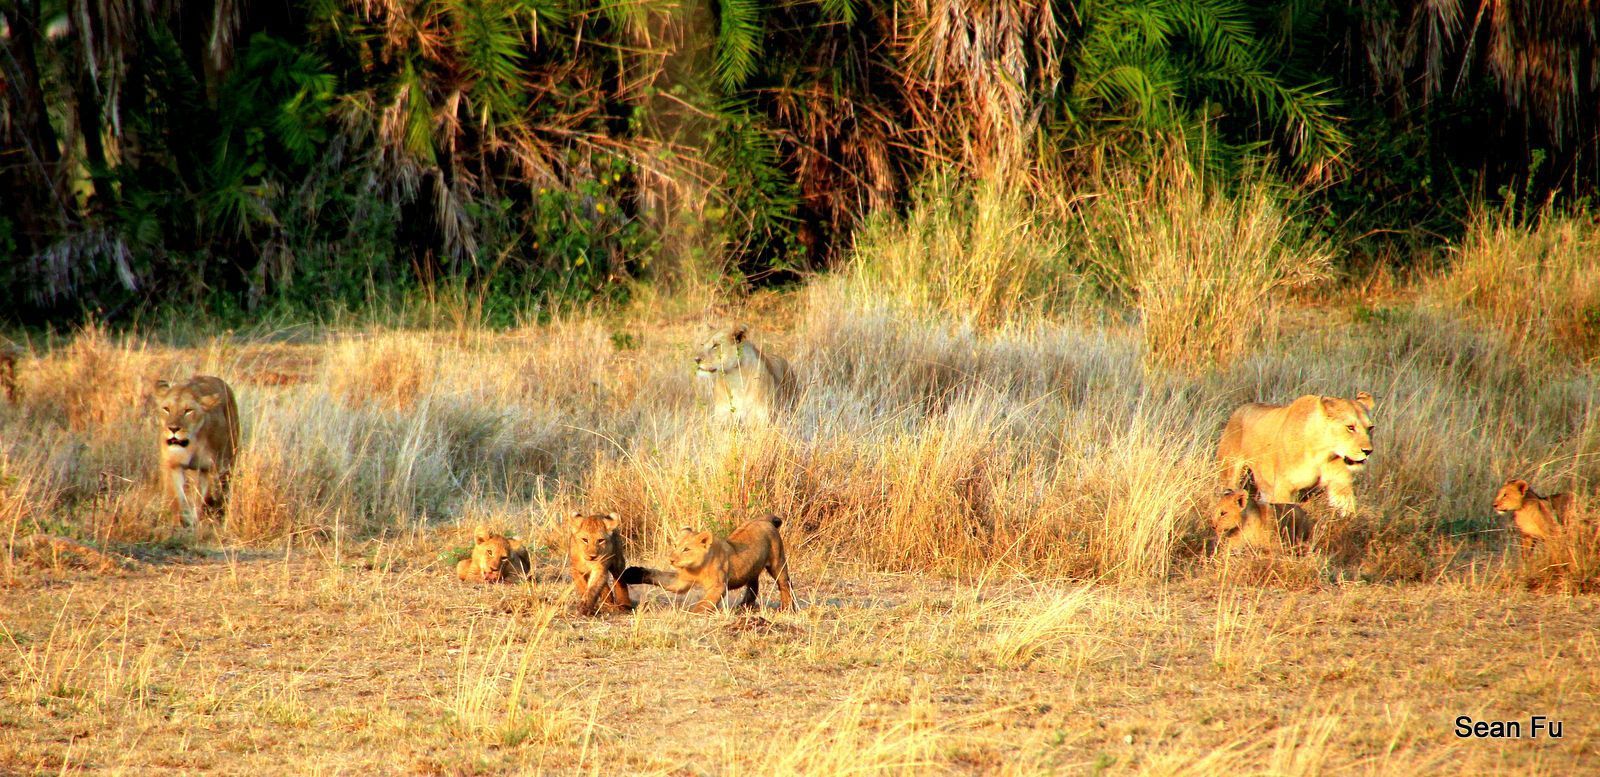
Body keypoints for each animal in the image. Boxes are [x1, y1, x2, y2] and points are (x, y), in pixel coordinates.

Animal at [152, 375, 240, 527]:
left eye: (188, 410)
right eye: (166, 409)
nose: (173, 429)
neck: (191, 443)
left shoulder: (211, 468)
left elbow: (205, 496)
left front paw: (199, 519)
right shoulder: (173, 464)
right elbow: (175, 496)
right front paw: (177, 524)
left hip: (229, 460)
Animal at [627, 514, 796, 613]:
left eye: (686, 549)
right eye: (675, 545)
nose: (672, 559)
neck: (696, 568)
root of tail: (764, 519)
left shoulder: (718, 586)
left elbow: (704, 602)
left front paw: (693, 612)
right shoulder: (681, 581)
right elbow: (660, 577)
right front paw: (633, 573)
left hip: (777, 562)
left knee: (785, 583)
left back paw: (787, 608)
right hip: (752, 567)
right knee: (753, 585)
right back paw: (743, 606)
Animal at [1216, 394, 1369, 514]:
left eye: (1370, 428)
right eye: (1350, 427)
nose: (1368, 451)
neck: (1322, 453)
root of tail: (1240, 408)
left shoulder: (1340, 485)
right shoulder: (1284, 488)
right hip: (1229, 475)